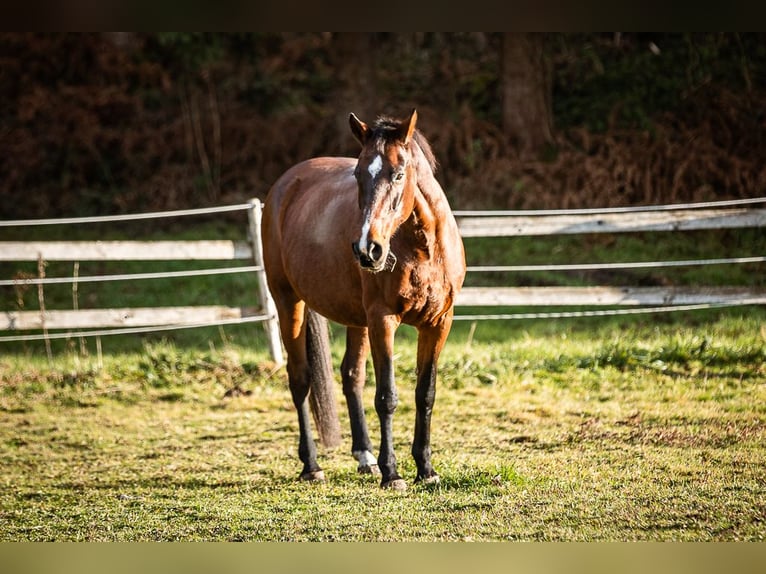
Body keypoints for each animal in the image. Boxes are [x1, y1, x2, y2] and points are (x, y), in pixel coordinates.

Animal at [262, 109, 468, 490]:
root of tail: (286, 184)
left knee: (351, 376)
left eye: (398, 173)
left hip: (356, 320)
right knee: (300, 380)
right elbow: (387, 397)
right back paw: (312, 466)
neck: (423, 248)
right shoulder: (383, 320)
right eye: (358, 173)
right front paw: (393, 473)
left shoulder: (438, 323)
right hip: (289, 303)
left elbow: (425, 393)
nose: (367, 249)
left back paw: (365, 457)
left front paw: (426, 469)